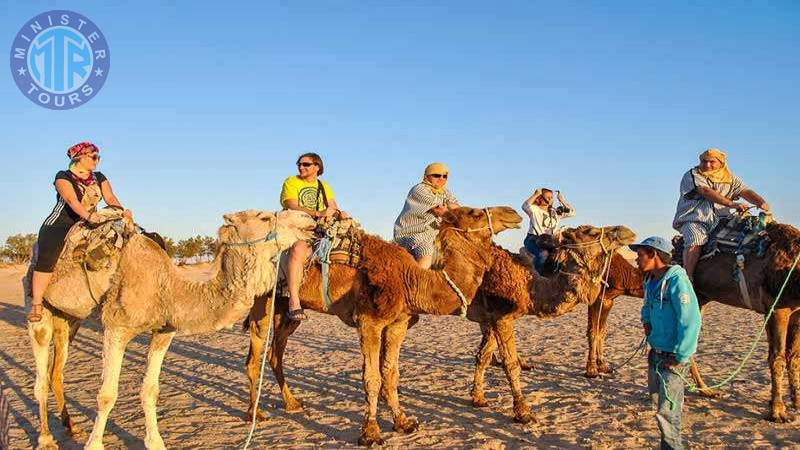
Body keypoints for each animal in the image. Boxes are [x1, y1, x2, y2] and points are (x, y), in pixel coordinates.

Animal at [25, 208, 312, 450]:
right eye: (264, 217)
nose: (308, 219)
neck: (168, 289)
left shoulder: (163, 332)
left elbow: (150, 391)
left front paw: (155, 442)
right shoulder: (116, 328)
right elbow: (107, 395)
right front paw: (94, 445)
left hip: (69, 318)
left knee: (56, 371)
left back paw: (70, 427)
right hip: (37, 307)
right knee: (40, 376)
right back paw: (46, 439)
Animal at [242, 207, 520, 446]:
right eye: (474, 212)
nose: (513, 213)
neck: (411, 279)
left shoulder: (398, 323)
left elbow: (391, 373)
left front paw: (403, 422)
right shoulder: (370, 322)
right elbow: (372, 377)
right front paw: (371, 432)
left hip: (286, 310)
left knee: (275, 353)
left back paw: (291, 403)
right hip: (262, 301)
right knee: (255, 356)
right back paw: (255, 413)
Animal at [680, 223, 800, 424]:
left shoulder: (795, 312)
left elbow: (793, 356)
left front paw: (796, 404)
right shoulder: (777, 308)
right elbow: (778, 357)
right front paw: (778, 411)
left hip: (702, 299)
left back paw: (705, 390)